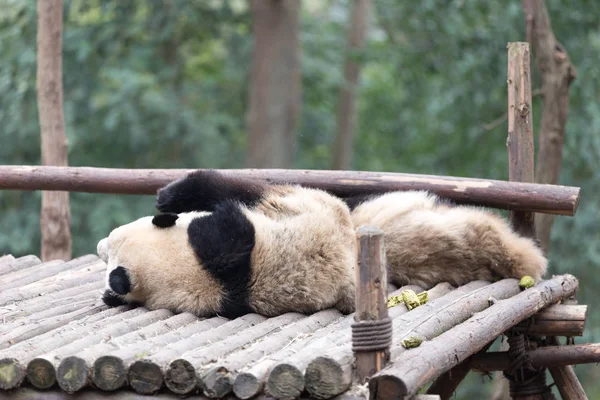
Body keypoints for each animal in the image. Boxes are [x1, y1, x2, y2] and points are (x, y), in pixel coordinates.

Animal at [98, 170, 356, 318]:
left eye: (112, 241)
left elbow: (228, 228)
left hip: (293, 201)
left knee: (234, 188)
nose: (100, 246)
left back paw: (170, 195)